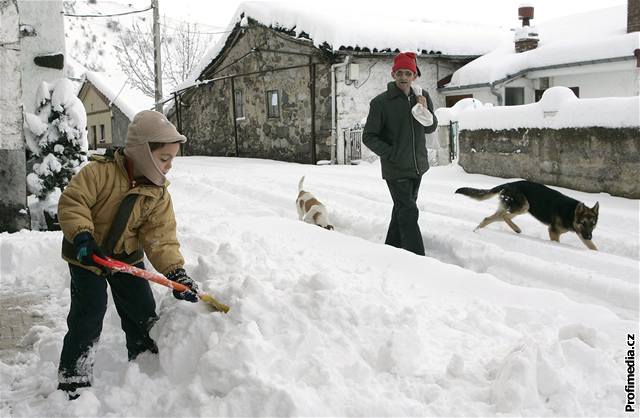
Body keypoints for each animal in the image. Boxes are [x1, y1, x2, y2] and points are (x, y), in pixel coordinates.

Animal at [456, 180, 600, 251]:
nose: (589, 236)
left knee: (491, 218)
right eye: (583, 223)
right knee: (504, 216)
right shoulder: (553, 232)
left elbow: (593, 248)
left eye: (593, 224)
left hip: (515, 207)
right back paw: (516, 229)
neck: (571, 213)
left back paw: (476, 231)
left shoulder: (581, 234)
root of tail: (508, 184)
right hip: (524, 206)